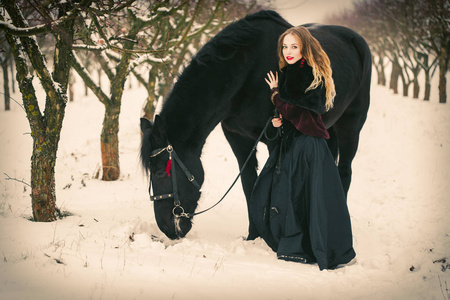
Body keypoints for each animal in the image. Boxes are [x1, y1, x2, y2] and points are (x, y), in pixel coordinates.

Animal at [139, 9, 370, 239]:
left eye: (160, 172)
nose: (167, 228)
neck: (247, 74)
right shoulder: (238, 138)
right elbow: (249, 184)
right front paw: (253, 236)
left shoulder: (275, 140)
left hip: (351, 128)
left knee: (344, 171)